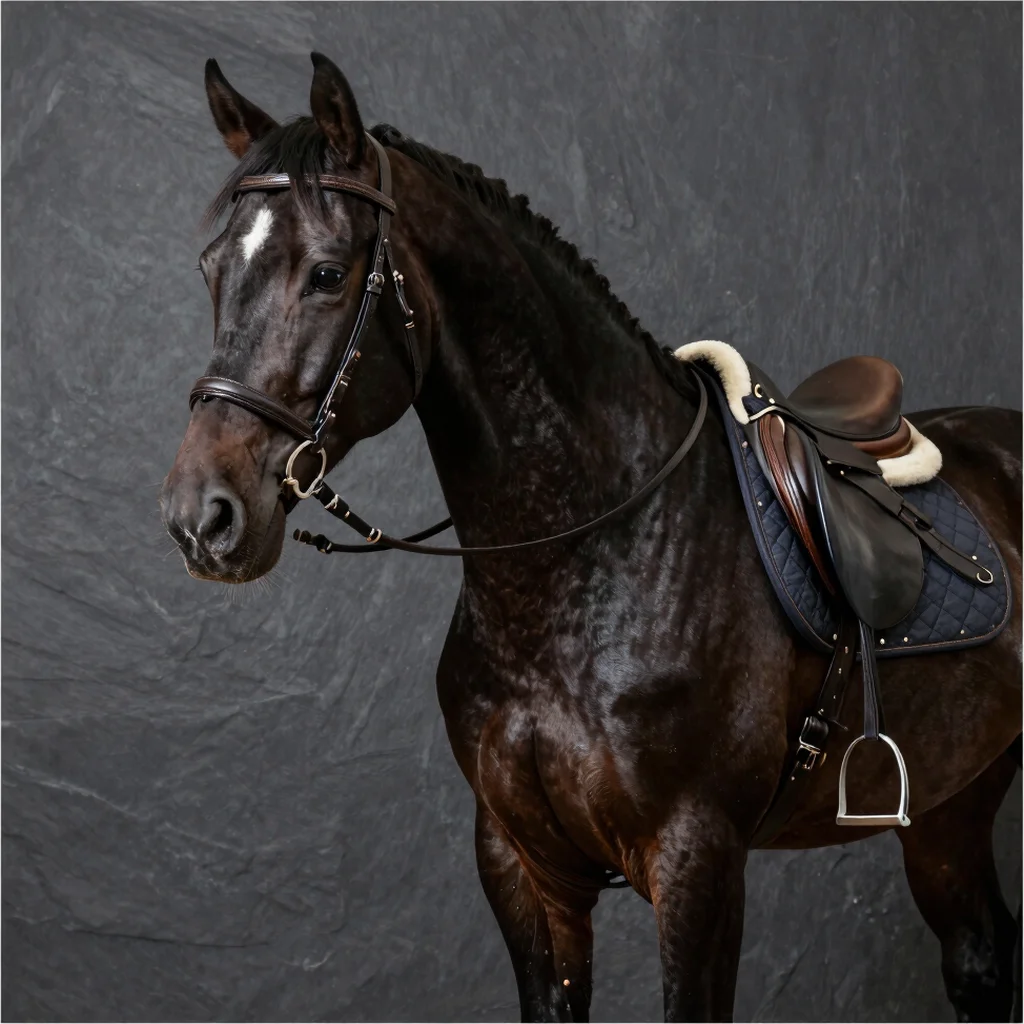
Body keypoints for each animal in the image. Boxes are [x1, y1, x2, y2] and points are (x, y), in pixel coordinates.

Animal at [161, 53, 1022, 1022]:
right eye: (210, 268)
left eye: (326, 273)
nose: (203, 515)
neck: (591, 556)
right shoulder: (523, 865)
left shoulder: (697, 862)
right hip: (954, 800)